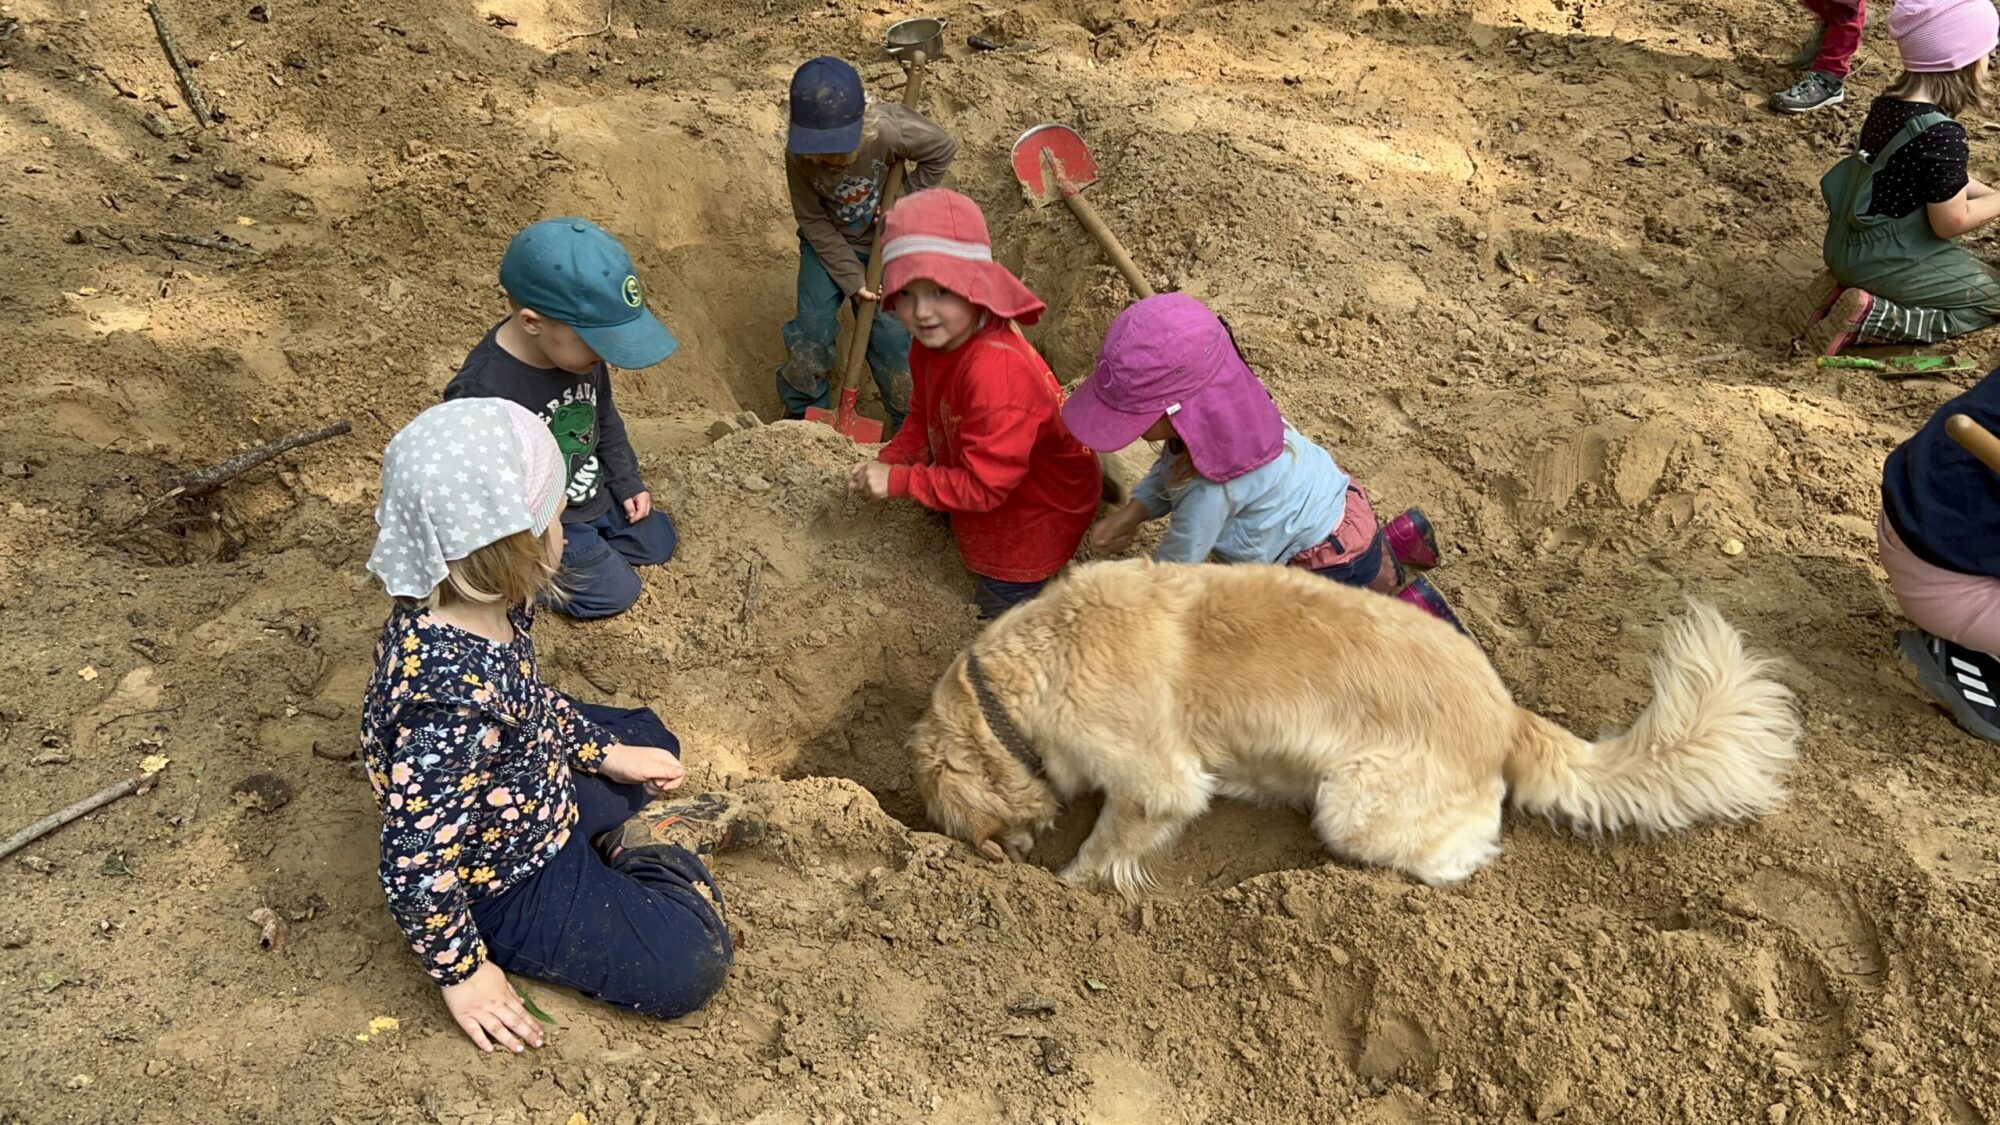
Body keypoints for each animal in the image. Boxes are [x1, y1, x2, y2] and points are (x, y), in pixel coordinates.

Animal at [916, 556, 1808, 892]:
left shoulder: (1157, 783)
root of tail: (1508, 713)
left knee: (1461, 854)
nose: (1003, 853)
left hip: (1354, 803)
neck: (1013, 685)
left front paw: (1070, 882)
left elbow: (1109, 842)